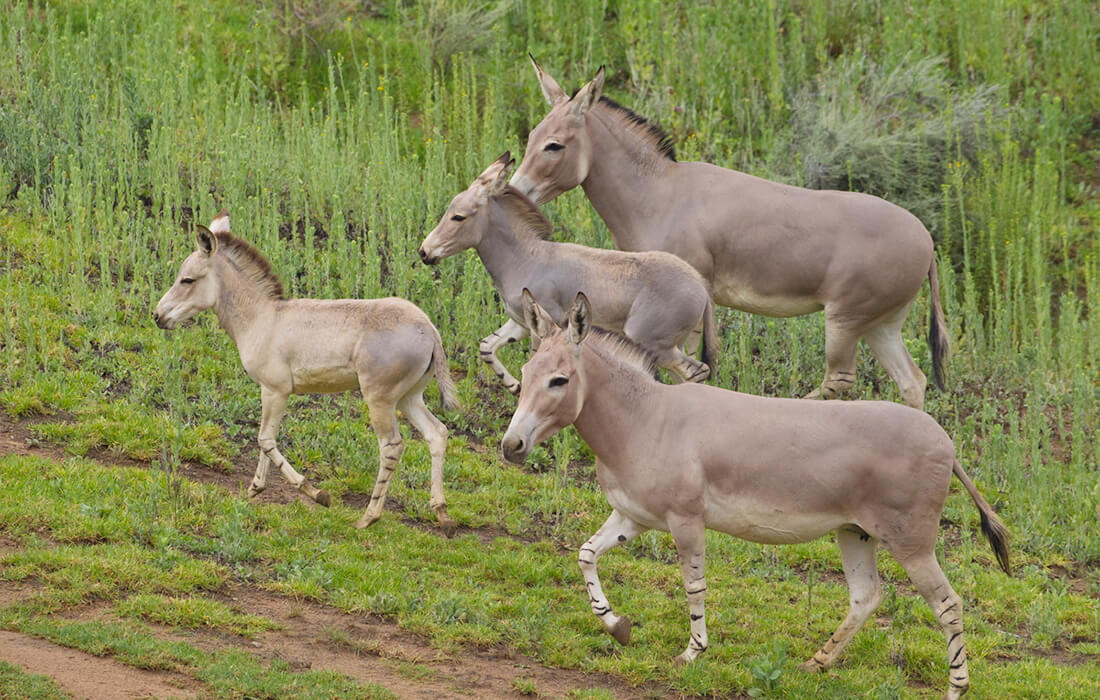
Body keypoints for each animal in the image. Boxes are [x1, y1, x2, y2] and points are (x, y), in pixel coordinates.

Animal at [155, 210, 459, 532]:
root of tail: (429, 330)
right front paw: (255, 488)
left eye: (187, 279)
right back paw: (442, 513)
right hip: (409, 398)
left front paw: (315, 493)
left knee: (391, 446)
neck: (262, 318)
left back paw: (369, 517)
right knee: (437, 433)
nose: (157, 316)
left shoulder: (275, 390)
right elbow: (265, 439)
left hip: (381, 400)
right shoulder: (270, 392)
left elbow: (265, 440)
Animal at [415, 152, 717, 391]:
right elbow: (486, 347)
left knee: (696, 371)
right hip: (679, 342)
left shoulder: (541, 326)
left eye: (458, 217)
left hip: (652, 343)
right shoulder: (519, 323)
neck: (525, 259)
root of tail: (701, 287)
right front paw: (513, 386)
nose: (423, 252)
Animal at [503, 288, 1007, 695]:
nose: (511, 447)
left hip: (911, 543)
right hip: (855, 532)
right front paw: (617, 626)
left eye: (559, 380)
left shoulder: (686, 520)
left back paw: (955, 688)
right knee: (866, 597)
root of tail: (945, 440)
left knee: (948, 604)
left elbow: (694, 584)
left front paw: (692, 652)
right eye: (524, 372)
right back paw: (816, 663)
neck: (643, 420)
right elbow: (586, 554)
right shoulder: (633, 517)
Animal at [510, 61, 950, 409]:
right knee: (913, 381)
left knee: (839, 381)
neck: (658, 193)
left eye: (554, 145)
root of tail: (926, 242)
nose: (514, 190)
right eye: (530, 138)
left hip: (843, 321)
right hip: (880, 325)